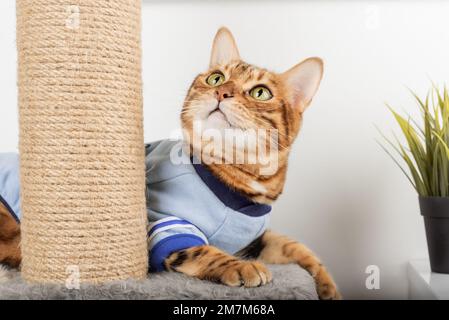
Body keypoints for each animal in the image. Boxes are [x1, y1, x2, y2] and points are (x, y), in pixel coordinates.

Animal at [0, 27, 338, 300]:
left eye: (260, 92)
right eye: (216, 77)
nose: (222, 91)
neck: (242, 184)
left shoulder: (255, 238)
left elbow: (297, 247)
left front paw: (326, 285)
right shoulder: (164, 222)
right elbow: (204, 250)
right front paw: (241, 267)